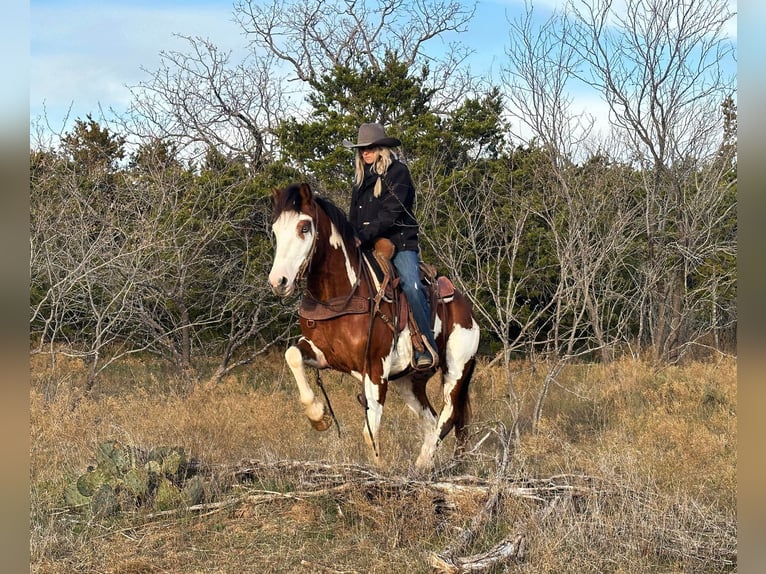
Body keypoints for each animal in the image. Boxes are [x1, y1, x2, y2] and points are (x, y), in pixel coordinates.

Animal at [270, 182, 480, 470]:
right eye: (275, 230)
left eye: (304, 227)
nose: (278, 281)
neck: (342, 296)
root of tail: (466, 308)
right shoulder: (322, 354)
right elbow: (292, 355)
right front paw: (318, 416)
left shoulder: (375, 368)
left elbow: (370, 431)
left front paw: (379, 470)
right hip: (410, 381)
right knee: (430, 420)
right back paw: (419, 467)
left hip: (456, 370)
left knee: (446, 418)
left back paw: (423, 466)